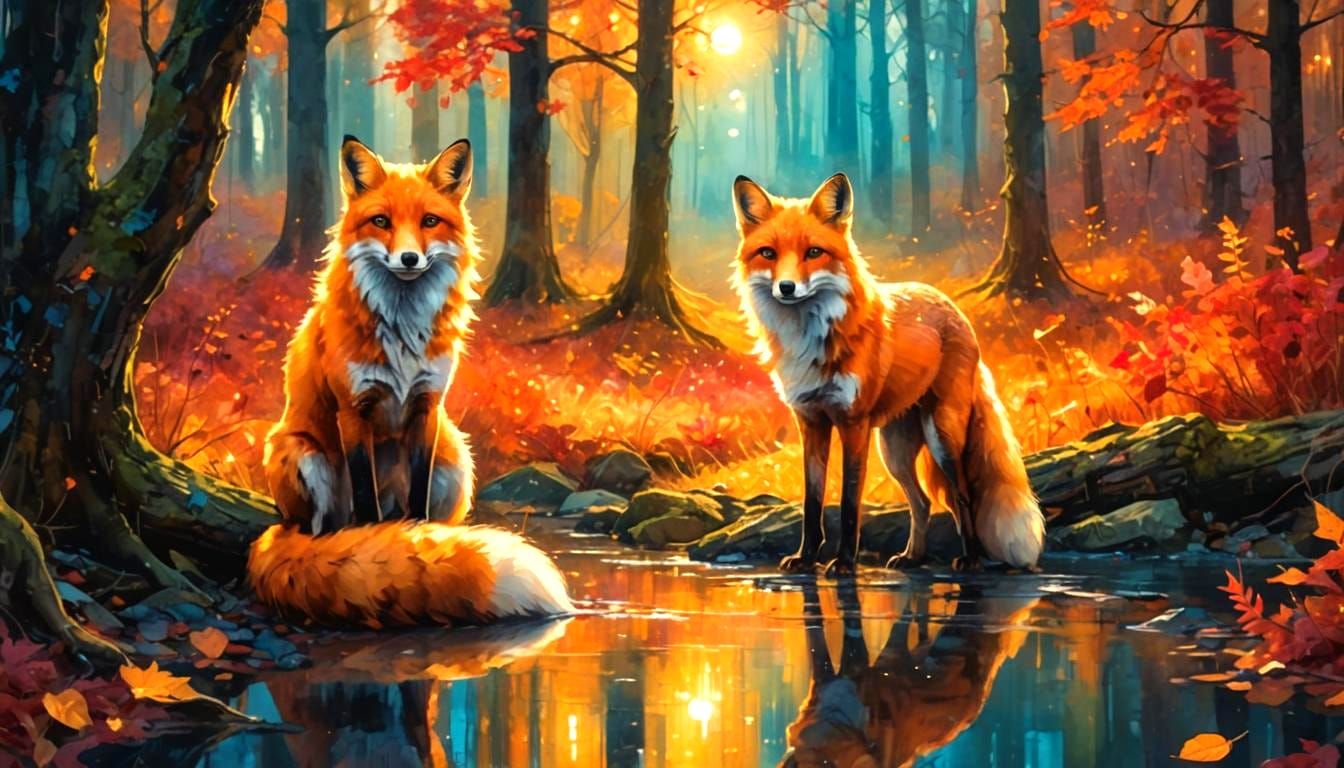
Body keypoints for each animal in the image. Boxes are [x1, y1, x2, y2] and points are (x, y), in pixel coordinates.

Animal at [249, 136, 573, 628]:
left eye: (429, 221)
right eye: (381, 221)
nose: (408, 258)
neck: (401, 331)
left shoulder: (426, 406)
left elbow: (418, 503)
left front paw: (419, 543)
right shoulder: (354, 409)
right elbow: (366, 502)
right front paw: (377, 547)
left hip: (455, 461)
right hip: (300, 454)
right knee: (323, 529)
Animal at [731, 172, 1044, 576]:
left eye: (814, 252)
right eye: (768, 253)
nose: (786, 287)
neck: (809, 339)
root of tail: (952, 307)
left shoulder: (853, 423)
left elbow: (849, 503)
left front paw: (844, 562)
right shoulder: (811, 422)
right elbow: (812, 502)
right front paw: (806, 557)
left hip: (941, 435)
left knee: (963, 497)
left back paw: (970, 559)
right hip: (894, 450)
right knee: (923, 502)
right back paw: (913, 556)